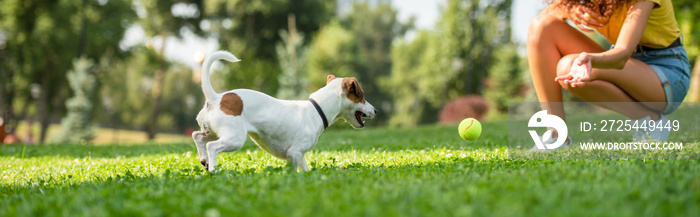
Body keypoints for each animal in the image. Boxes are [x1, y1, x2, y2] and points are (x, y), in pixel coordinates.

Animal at [191, 50, 378, 171]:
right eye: (361, 97)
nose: (375, 110)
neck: (317, 109)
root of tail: (215, 98)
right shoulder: (294, 153)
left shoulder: (300, 155)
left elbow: (306, 170)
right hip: (235, 138)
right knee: (212, 146)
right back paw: (213, 170)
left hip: (213, 131)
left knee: (197, 136)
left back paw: (204, 160)